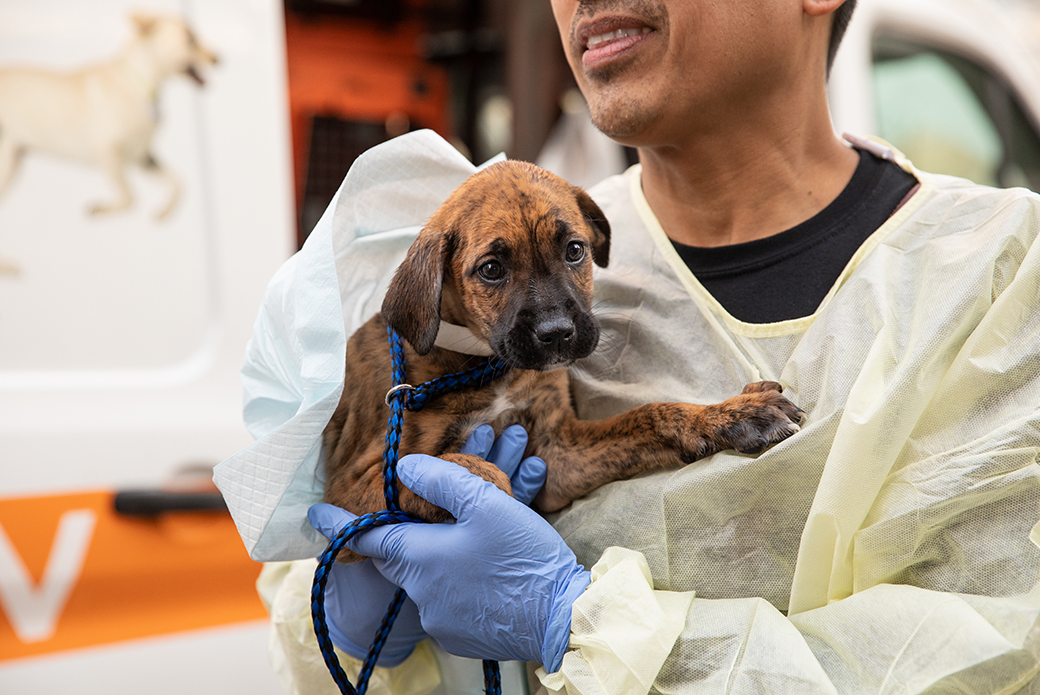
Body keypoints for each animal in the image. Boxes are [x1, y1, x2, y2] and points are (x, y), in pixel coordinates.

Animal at [324, 159, 802, 541]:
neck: (486, 366)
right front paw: (495, 519)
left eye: (575, 250)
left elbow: (650, 414)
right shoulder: (350, 485)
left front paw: (729, 413)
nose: (557, 333)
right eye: (492, 270)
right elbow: (456, 470)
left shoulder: (557, 451)